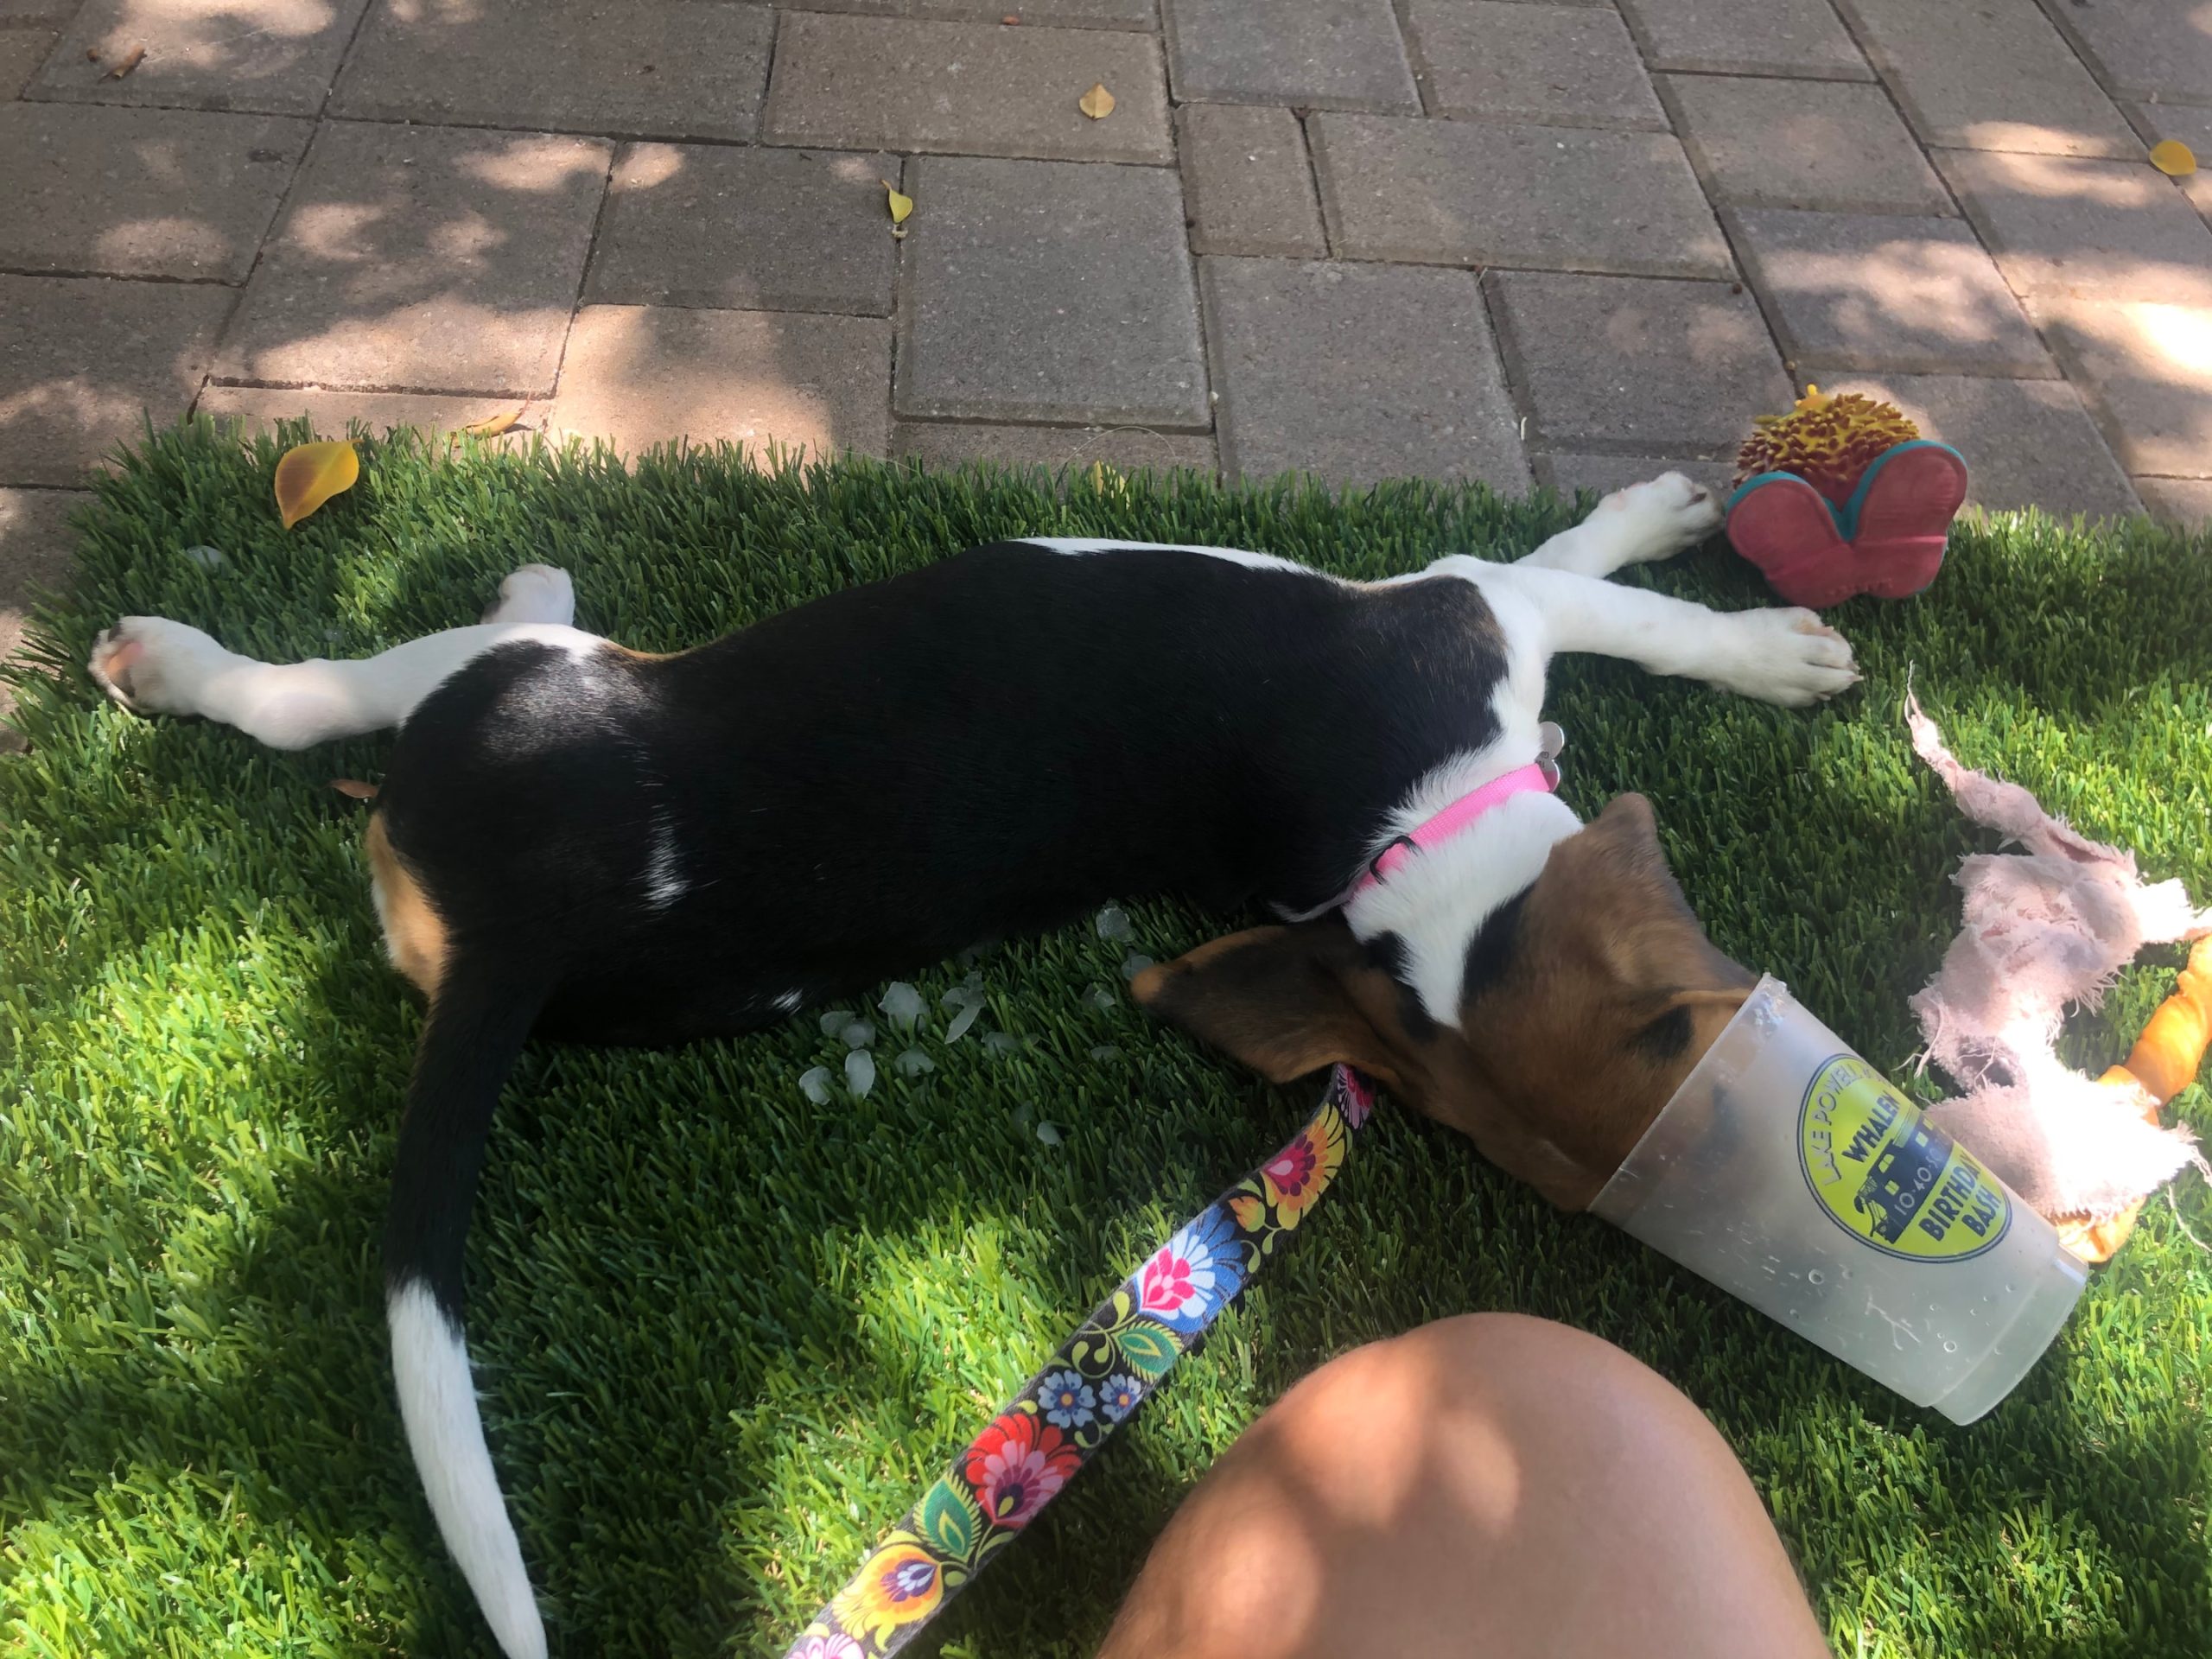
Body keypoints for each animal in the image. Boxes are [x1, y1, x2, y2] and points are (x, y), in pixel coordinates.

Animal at [86, 473, 1849, 1654]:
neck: (1411, 864)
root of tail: (518, 933)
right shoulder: (1478, 602)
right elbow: (1594, 578)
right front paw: (1748, 619)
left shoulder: (1482, 629)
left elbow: (1595, 588)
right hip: (501, 705)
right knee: (317, 703)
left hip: (489, 710)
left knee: (316, 704)